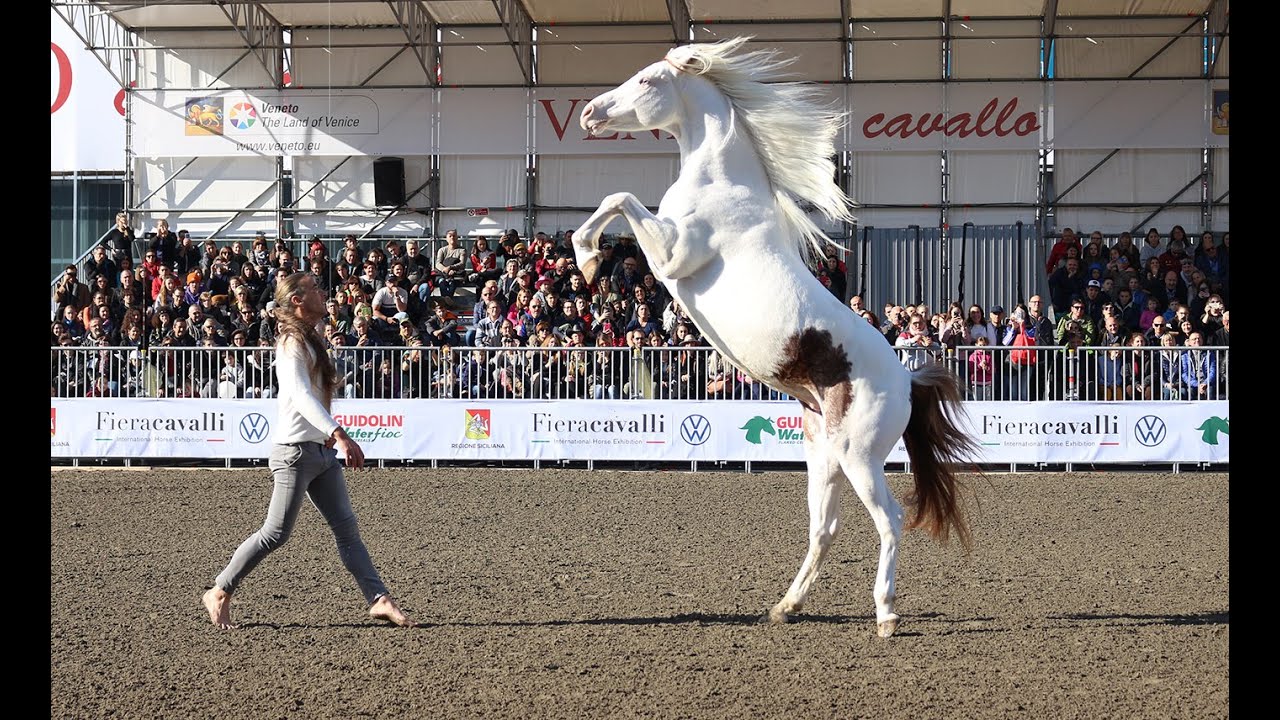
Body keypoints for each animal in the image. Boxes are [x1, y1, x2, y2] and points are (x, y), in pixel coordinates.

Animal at [576, 37, 972, 632]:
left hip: (859, 456)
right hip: (822, 453)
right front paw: (588, 258)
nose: (590, 113)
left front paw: (586, 259)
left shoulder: (673, 257)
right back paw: (787, 606)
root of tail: (907, 383)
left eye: (647, 80)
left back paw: (884, 613)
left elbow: (619, 197)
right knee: (825, 528)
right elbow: (613, 200)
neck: (722, 184)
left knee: (892, 519)